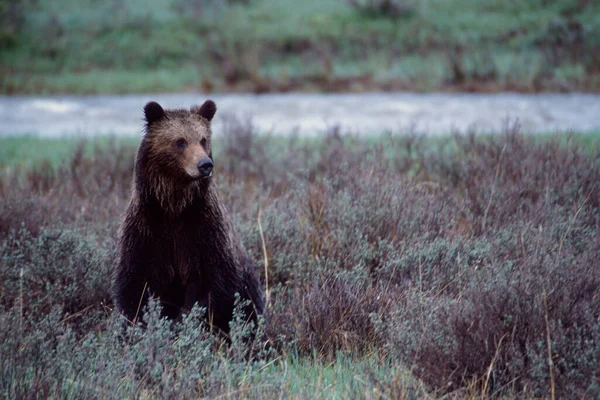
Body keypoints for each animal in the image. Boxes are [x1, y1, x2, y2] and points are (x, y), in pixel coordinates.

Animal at [112, 100, 262, 334]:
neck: (174, 206)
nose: (205, 164)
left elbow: (213, 285)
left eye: (203, 139)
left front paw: (180, 323)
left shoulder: (204, 230)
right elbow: (134, 284)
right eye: (180, 141)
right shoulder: (145, 230)